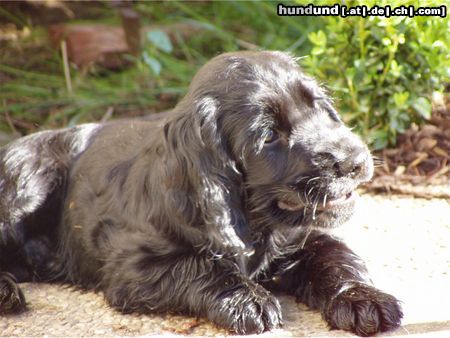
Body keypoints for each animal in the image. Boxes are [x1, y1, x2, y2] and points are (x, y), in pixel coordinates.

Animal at [0, 51, 400, 336]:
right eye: (269, 135)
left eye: (320, 108)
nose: (355, 160)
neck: (255, 223)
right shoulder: (133, 266)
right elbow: (200, 265)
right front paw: (249, 300)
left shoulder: (305, 237)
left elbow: (337, 258)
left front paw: (364, 299)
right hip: (27, 183)